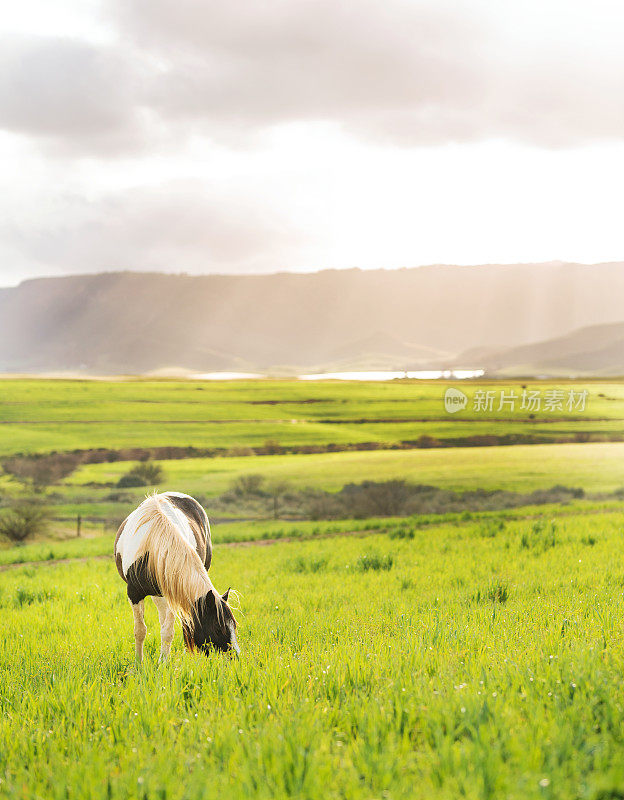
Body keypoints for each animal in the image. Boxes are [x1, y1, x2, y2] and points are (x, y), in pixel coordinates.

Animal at [112, 494, 239, 664]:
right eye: (219, 629)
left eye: (234, 626)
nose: (235, 658)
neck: (154, 549)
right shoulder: (134, 593)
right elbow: (140, 630)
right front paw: (139, 663)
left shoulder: (174, 592)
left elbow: (169, 631)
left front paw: (163, 663)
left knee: (183, 623)